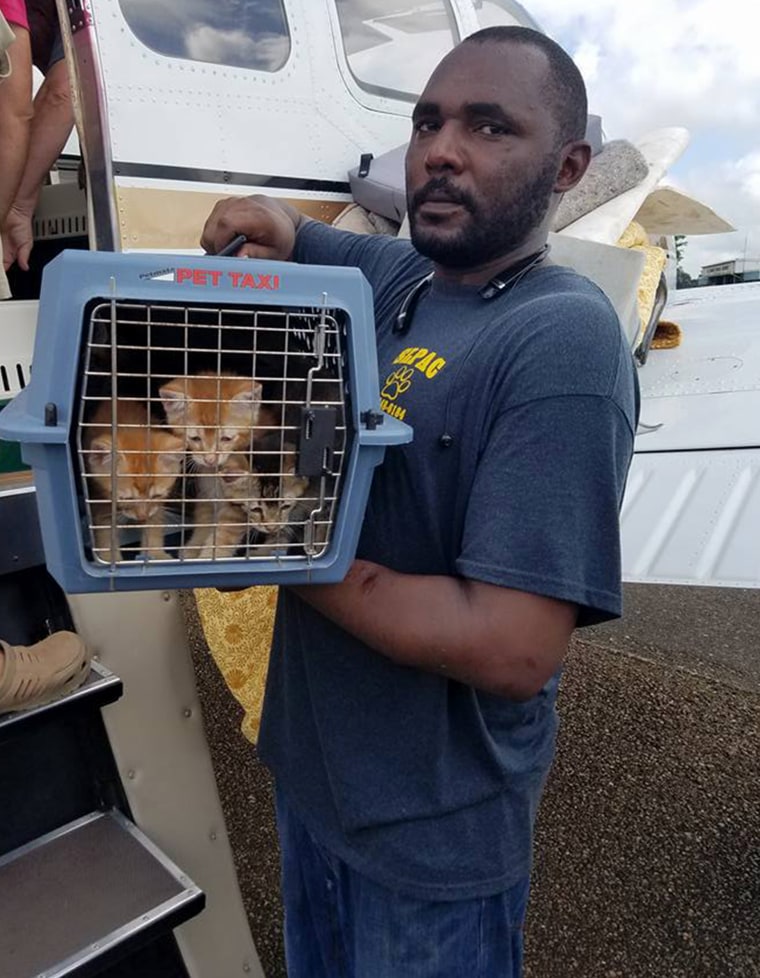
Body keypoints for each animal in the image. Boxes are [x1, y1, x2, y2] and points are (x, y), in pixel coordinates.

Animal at [83, 398, 186, 564]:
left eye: (156, 495)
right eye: (127, 498)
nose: (142, 516)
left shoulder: (156, 506)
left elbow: (154, 522)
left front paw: (155, 553)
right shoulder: (98, 497)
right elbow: (105, 529)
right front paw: (109, 558)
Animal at [159, 374, 266, 552]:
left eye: (226, 439)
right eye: (195, 438)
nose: (209, 459)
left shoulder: (238, 506)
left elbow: (222, 539)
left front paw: (208, 556)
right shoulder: (206, 496)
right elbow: (203, 526)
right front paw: (191, 551)